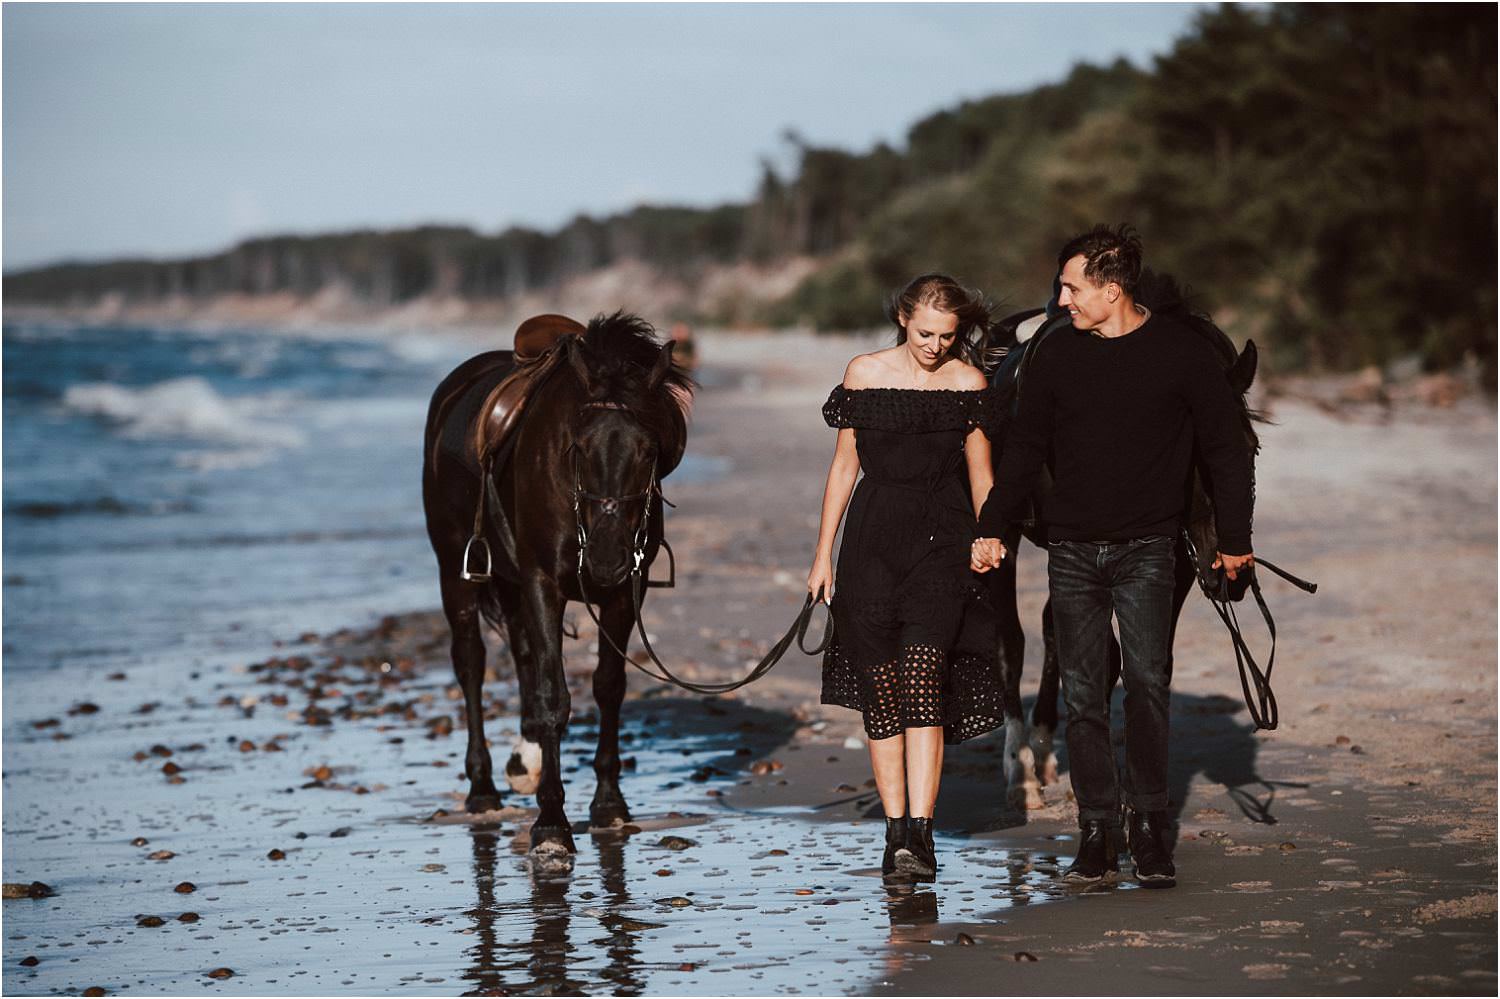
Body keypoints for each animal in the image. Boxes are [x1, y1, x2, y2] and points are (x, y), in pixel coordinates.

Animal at [423, 313, 690, 864]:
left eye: (648, 450)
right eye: (578, 448)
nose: (606, 558)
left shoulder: (625, 591)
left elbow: (608, 686)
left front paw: (609, 802)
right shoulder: (542, 582)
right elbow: (553, 699)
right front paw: (551, 823)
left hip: (510, 581)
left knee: (523, 653)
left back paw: (523, 762)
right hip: (455, 570)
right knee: (471, 663)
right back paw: (482, 788)